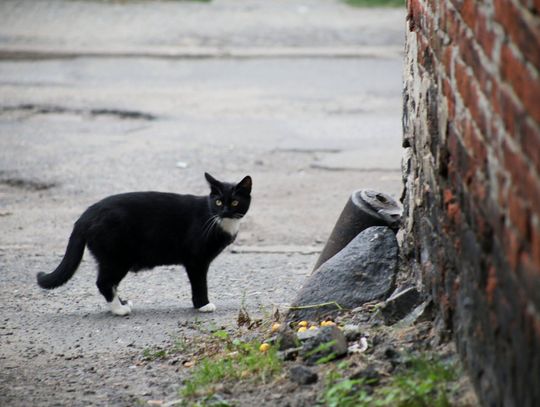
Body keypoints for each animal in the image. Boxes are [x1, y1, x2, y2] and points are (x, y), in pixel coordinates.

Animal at [37, 172, 252, 316]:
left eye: (234, 202)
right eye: (218, 202)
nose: (224, 211)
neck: (218, 221)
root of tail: (85, 215)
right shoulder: (196, 260)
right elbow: (199, 284)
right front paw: (203, 305)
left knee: (109, 283)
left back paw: (123, 303)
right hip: (116, 257)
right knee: (103, 282)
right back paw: (119, 310)